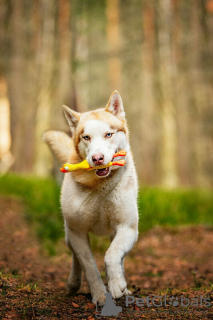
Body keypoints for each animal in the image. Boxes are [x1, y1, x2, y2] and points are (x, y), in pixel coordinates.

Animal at [44, 90, 139, 304]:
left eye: (109, 134)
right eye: (86, 137)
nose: (97, 158)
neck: (100, 186)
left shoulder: (127, 227)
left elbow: (111, 255)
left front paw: (116, 284)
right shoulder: (77, 231)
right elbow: (88, 264)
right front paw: (100, 295)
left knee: (118, 256)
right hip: (68, 235)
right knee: (75, 257)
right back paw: (73, 283)